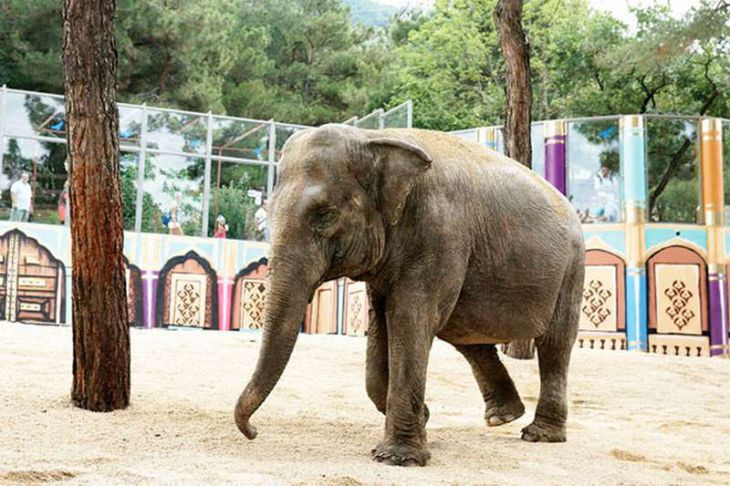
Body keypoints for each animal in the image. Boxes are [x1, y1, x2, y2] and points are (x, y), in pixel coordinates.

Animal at [235, 124, 584, 468]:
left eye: (324, 214)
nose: (253, 432)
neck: (373, 138)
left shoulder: (440, 232)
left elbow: (408, 318)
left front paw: (397, 458)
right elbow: (382, 323)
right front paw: (424, 418)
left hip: (571, 268)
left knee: (554, 344)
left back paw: (538, 434)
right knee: (465, 336)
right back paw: (504, 416)